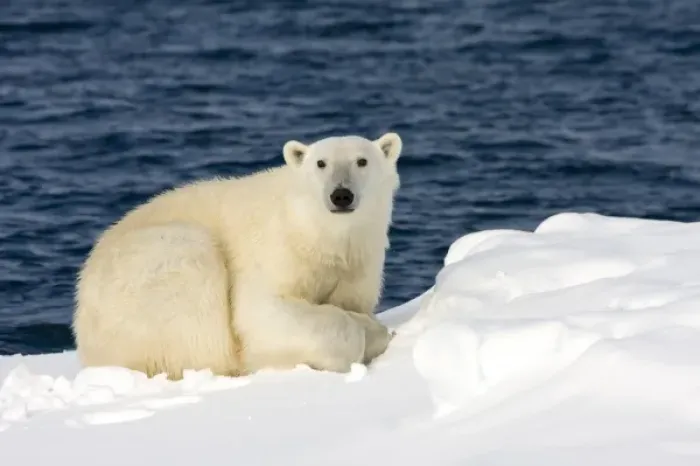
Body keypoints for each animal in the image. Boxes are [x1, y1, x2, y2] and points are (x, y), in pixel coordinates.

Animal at [72, 132, 403, 380]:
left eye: (362, 161)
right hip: (156, 270)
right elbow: (259, 313)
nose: (341, 195)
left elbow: (352, 301)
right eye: (321, 163)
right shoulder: (273, 251)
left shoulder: (359, 263)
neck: (318, 235)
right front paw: (364, 332)